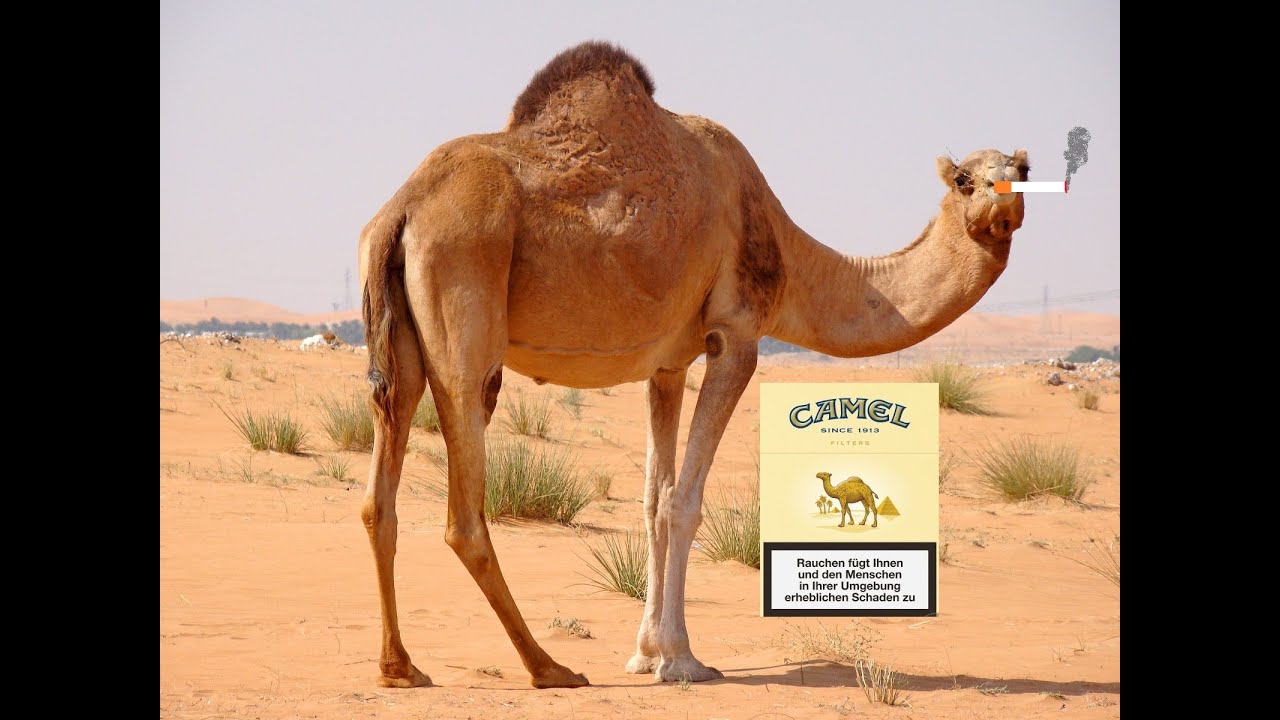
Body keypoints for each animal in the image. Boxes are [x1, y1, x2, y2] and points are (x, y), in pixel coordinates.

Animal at [357, 41, 1028, 689]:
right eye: (964, 179)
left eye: (1023, 170)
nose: (1003, 203)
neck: (787, 251)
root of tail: (401, 209)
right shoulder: (736, 336)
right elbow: (684, 500)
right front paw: (681, 659)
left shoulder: (667, 366)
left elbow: (654, 499)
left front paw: (645, 653)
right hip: (465, 303)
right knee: (464, 511)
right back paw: (548, 668)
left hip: (399, 341)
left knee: (379, 494)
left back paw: (401, 667)